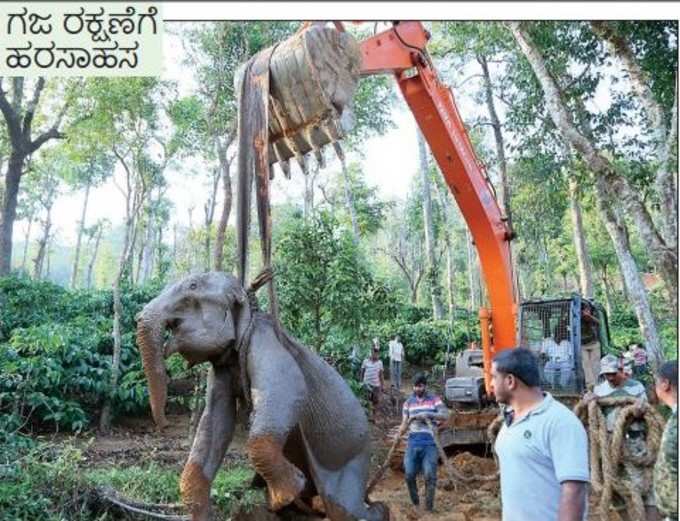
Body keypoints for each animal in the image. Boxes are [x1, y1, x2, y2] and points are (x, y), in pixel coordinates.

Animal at [136, 272, 390, 520]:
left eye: (192, 286)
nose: (164, 425)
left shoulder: (264, 341)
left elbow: (289, 390)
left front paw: (288, 490)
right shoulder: (222, 369)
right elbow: (215, 420)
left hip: (351, 458)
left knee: (346, 511)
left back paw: (378, 509)